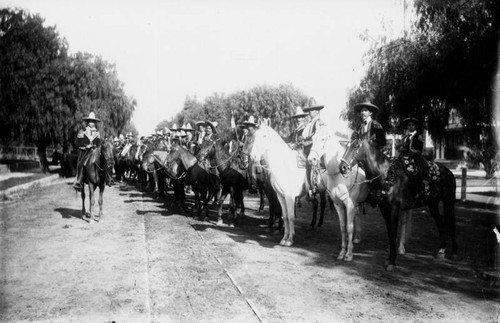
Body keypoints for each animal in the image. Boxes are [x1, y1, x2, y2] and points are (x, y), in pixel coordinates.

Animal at [306, 129, 370, 260]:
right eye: (313, 139)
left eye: (323, 139)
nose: (311, 159)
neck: (340, 176)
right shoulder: (338, 205)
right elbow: (343, 227)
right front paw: (342, 252)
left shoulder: (349, 204)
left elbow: (349, 227)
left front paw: (349, 254)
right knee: (357, 216)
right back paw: (357, 238)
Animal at [340, 138, 458, 270]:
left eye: (355, 146)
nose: (342, 167)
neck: (386, 175)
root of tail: (449, 172)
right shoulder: (384, 209)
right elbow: (390, 234)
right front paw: (389, 260)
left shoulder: (394, 209)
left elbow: (393, 233)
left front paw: (392, 262)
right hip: (433, 204)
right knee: (440, 224)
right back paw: (441, 251)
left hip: (449, 202)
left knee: (452, 224)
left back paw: (454, 253)